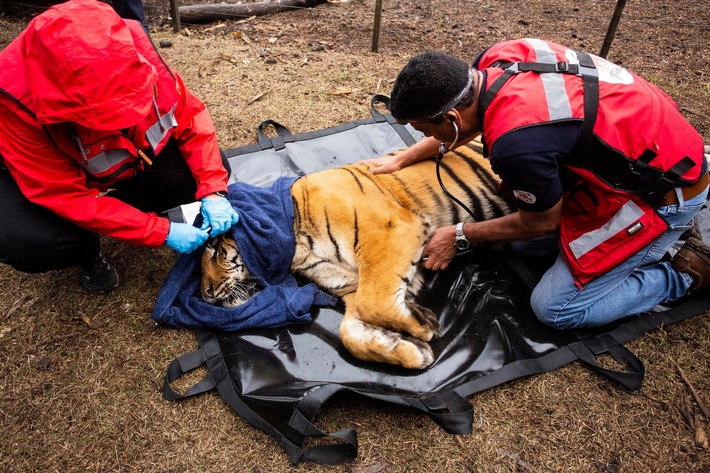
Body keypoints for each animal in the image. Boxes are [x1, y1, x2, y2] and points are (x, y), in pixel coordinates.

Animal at [199, 142, 512, 370]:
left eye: (216, 250)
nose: (205, 294)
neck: (298, 247)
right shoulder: (349, 284)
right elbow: (351, 330)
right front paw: (410, 347)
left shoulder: (393, 230)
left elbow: (374, 302)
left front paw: (424, 326)